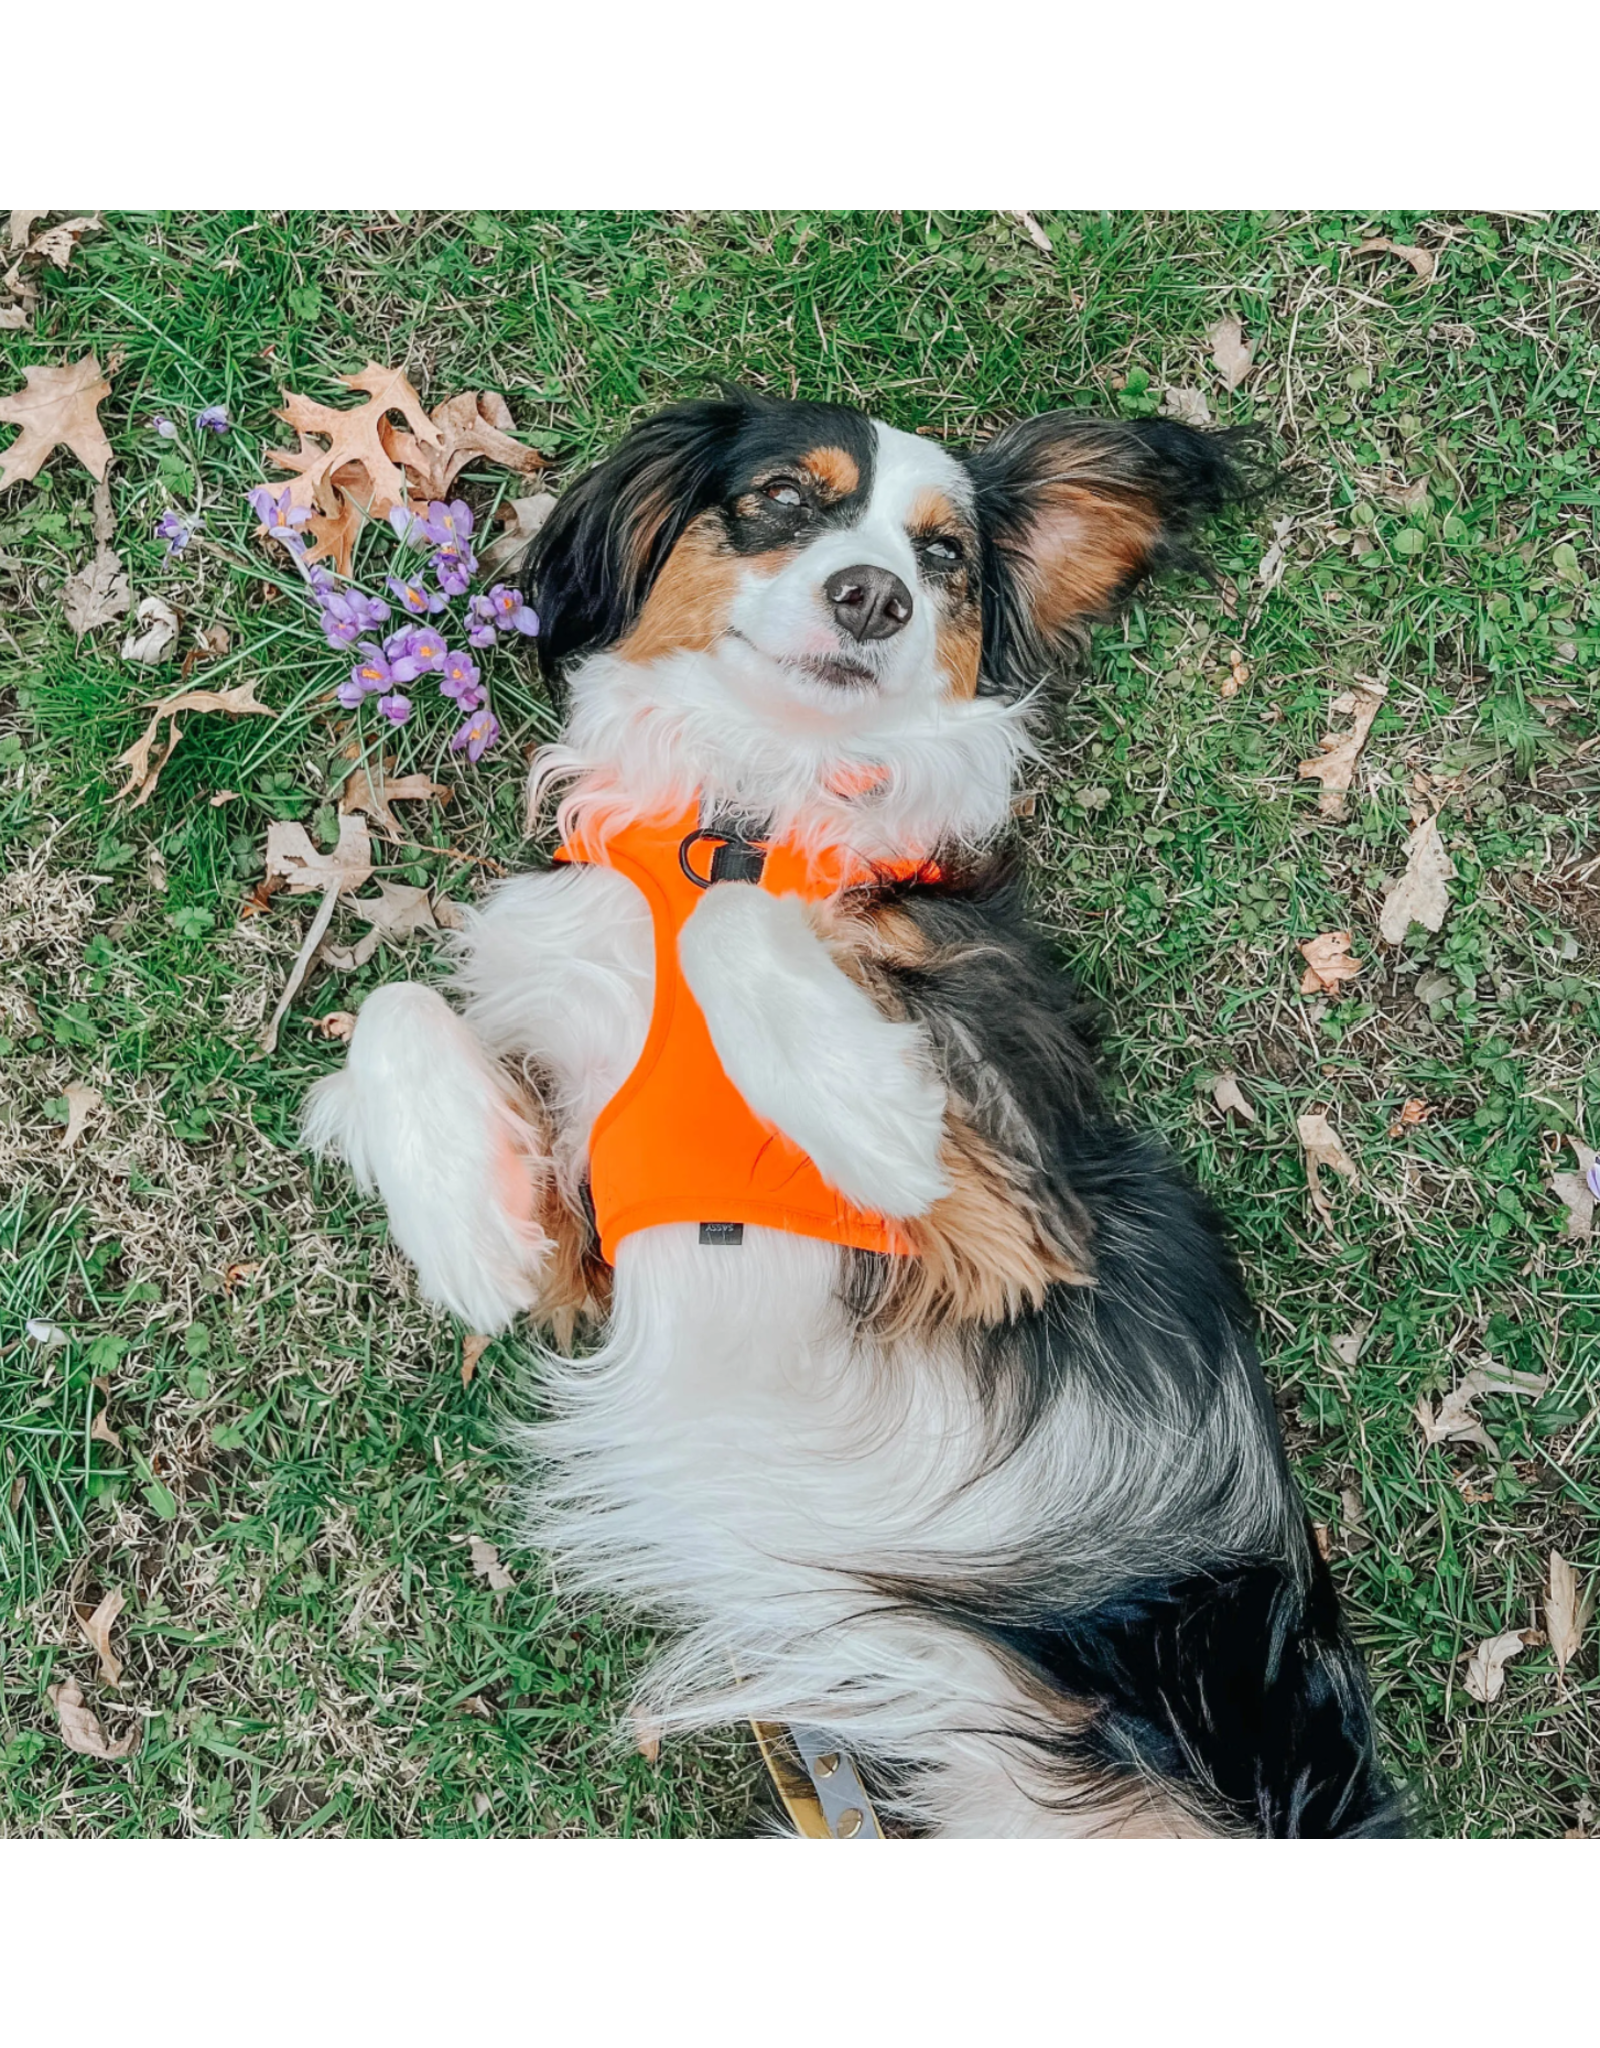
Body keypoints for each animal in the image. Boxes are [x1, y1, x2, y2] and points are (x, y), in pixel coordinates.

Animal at [303, 387, 1401, 1843]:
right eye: (783, 497)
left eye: (942, 556)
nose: (873, 594)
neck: (747, 810)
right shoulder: (602, 1236)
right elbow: (393, 1006)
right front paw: (469, 1228)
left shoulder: (1020, 1225)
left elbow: (739, 932)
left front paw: (848, 1085)